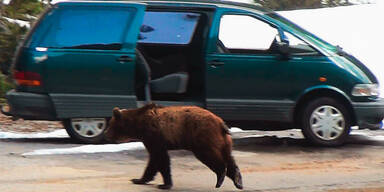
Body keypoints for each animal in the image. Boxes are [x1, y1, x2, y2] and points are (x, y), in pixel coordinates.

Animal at [104, 103, 243, 189]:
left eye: (110, 124)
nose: (105, 134)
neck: (138, 125)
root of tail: (221, 123)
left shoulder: (153, 136)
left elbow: (160, 158)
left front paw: (164, 185)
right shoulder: (151, 139)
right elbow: (154, 161)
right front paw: (139, 179)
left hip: (203, 136)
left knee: (210, 156)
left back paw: (220, 177)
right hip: (225, 141)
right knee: (229, 157)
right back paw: (238, 180)